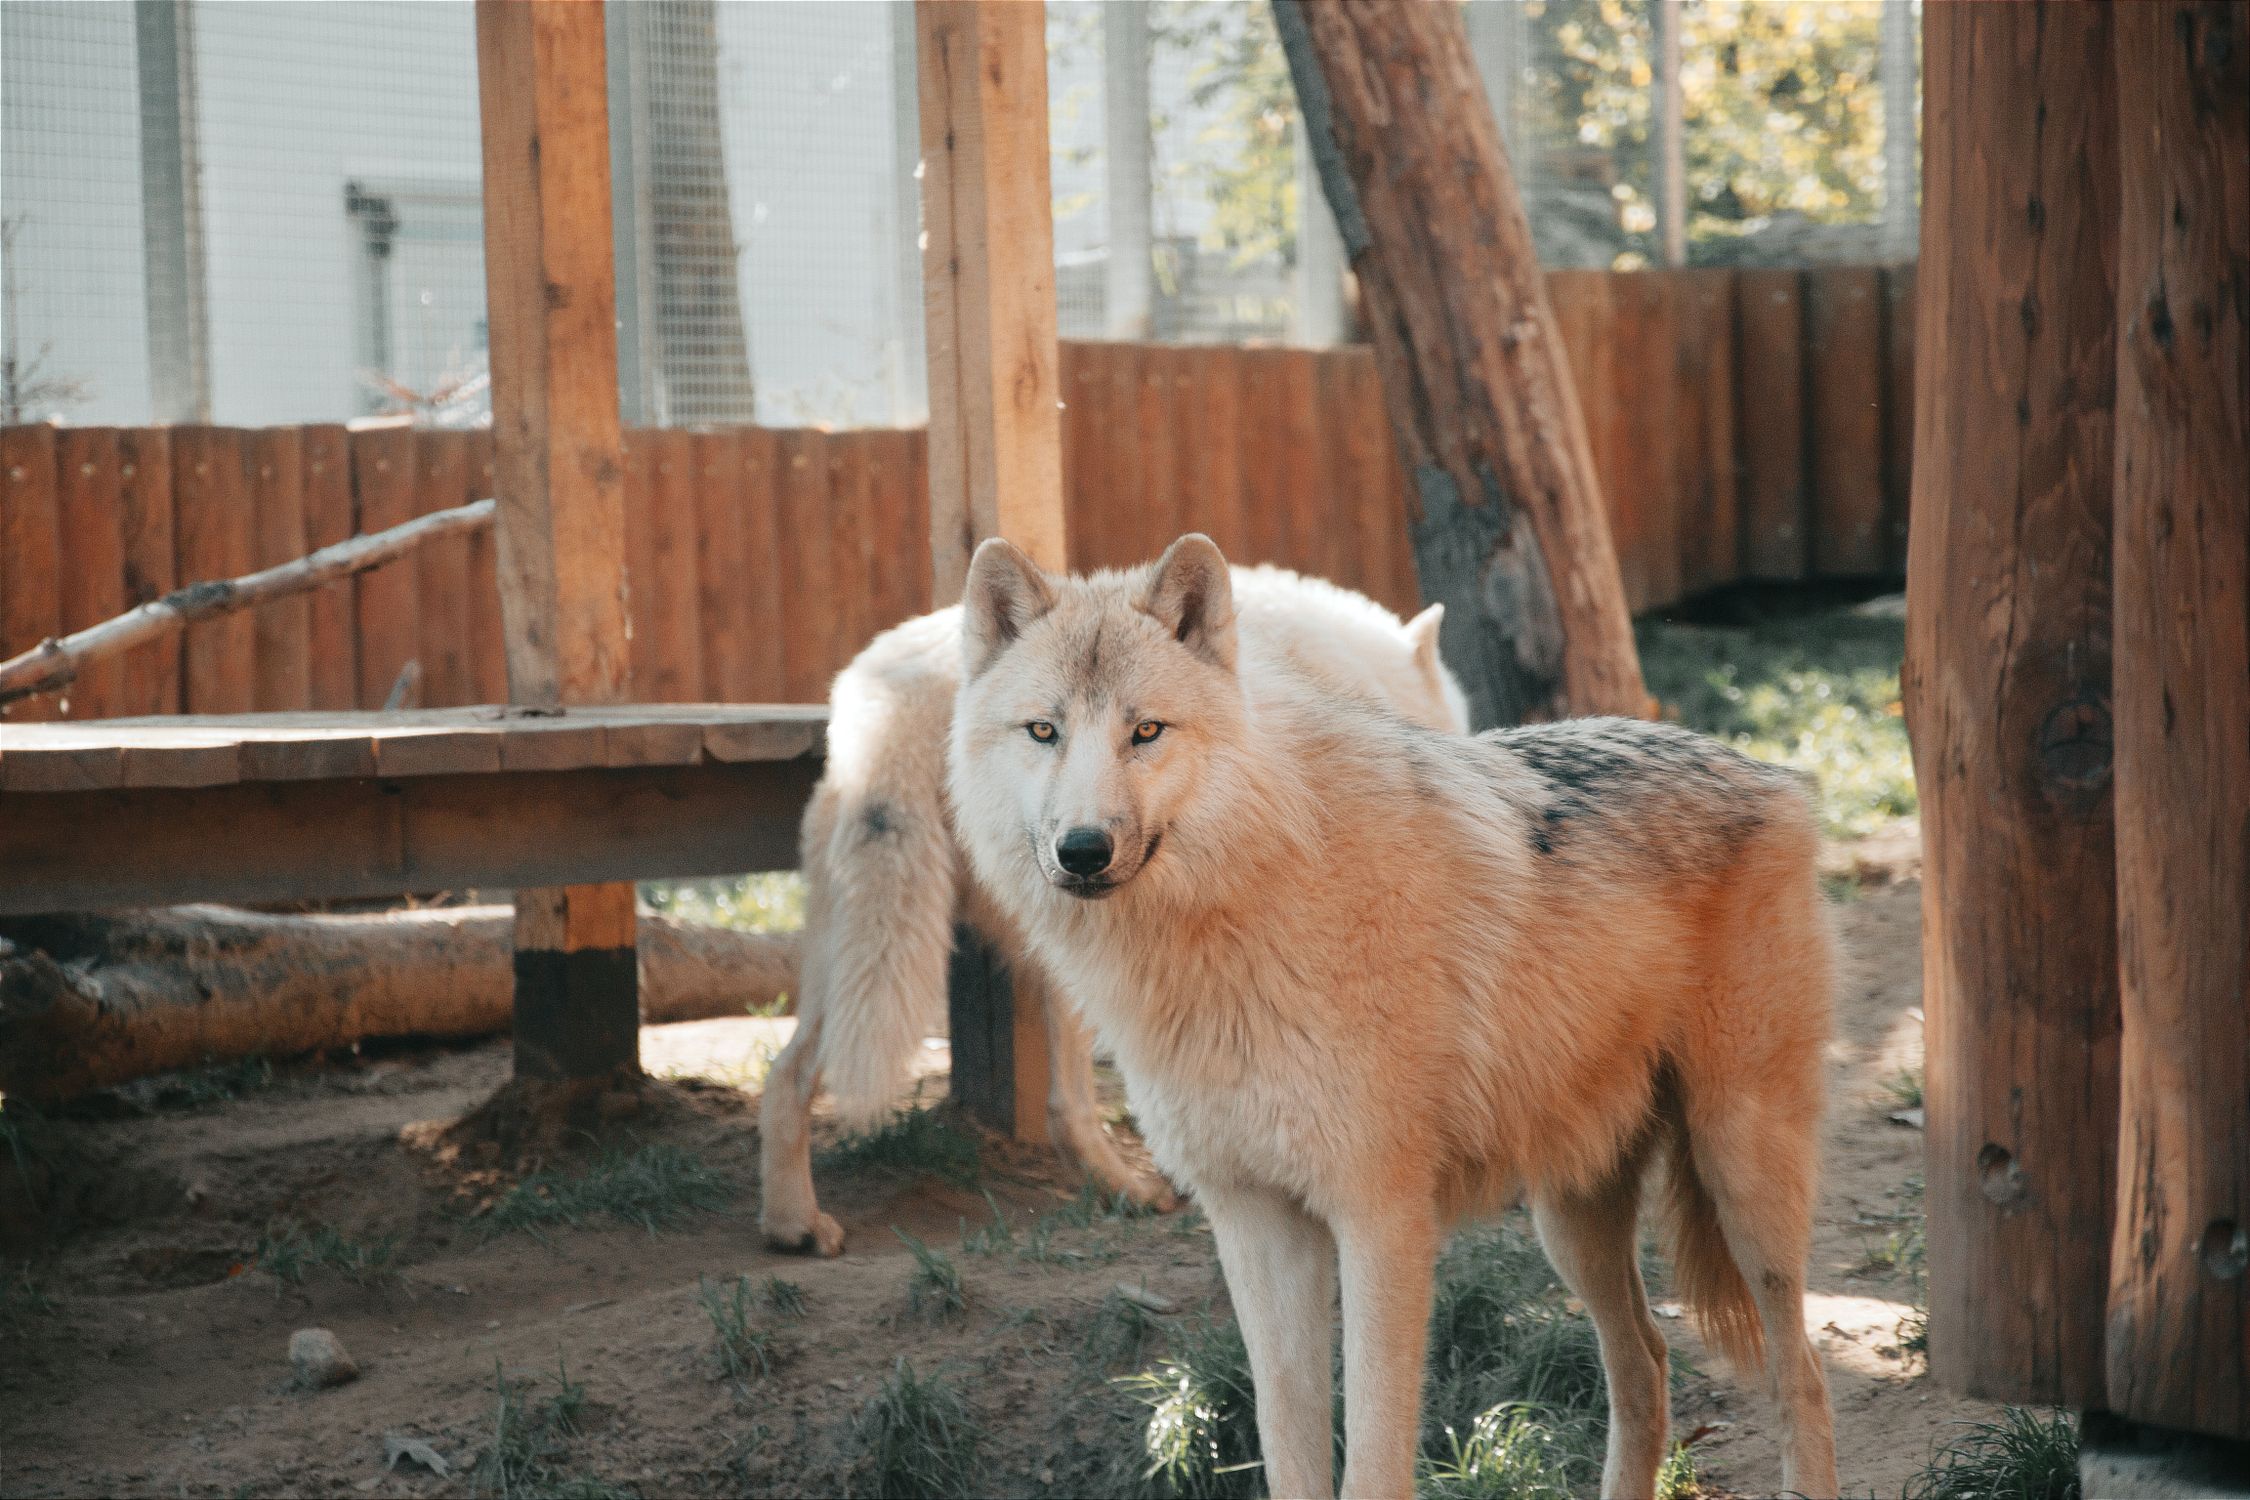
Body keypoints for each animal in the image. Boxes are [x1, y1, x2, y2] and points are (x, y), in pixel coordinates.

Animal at [757, 564, 1470, 1257]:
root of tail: (892, 696)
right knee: (1068, 1100)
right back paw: (1131, 1185)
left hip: (866, 945)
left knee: (789, 1071)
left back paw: (793, 1225)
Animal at [947, 534, 1840, 1500]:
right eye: (1044, 731)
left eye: (1145, 731)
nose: (1082, 850)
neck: (1245, 911)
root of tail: (1766, 769)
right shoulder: (1254, 1224)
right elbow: (1289, 1446)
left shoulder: (1380, 1219)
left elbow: (1373, 1456)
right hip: (1570, 1222)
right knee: (1646, 1362)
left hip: (1740, 1170)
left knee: (1801, 1374)